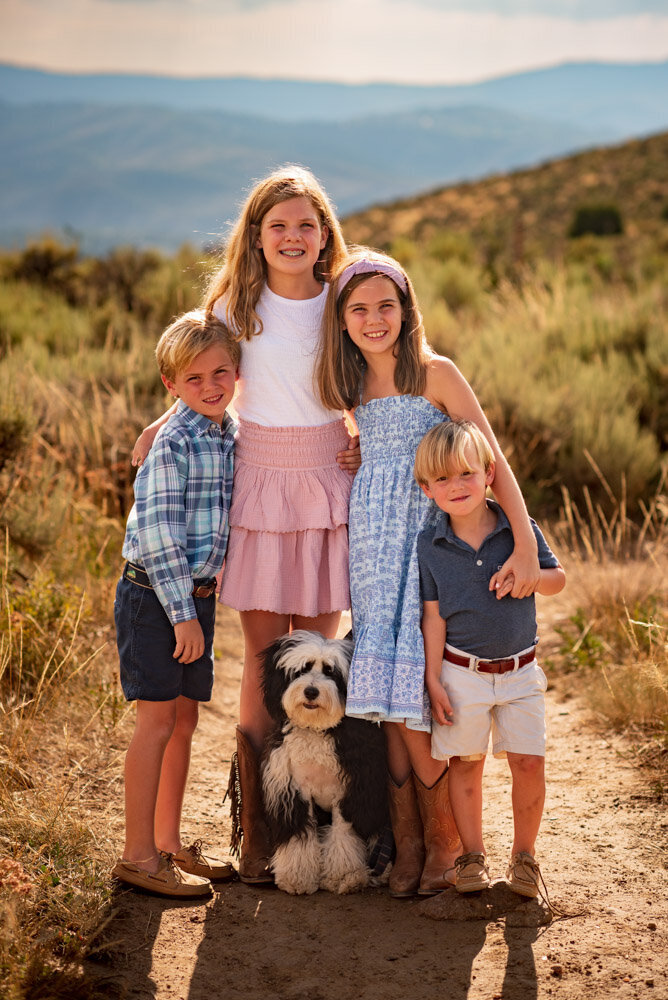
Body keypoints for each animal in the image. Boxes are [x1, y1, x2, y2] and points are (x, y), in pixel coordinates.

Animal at [260, 628, 388, 896]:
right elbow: (300, 836)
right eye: (302, 669)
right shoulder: (294, 791)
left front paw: (344, 876)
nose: (311, 692)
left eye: (331, 672)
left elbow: (342, 834)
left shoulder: (350, 791)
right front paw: (297, 877)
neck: (317, 730)